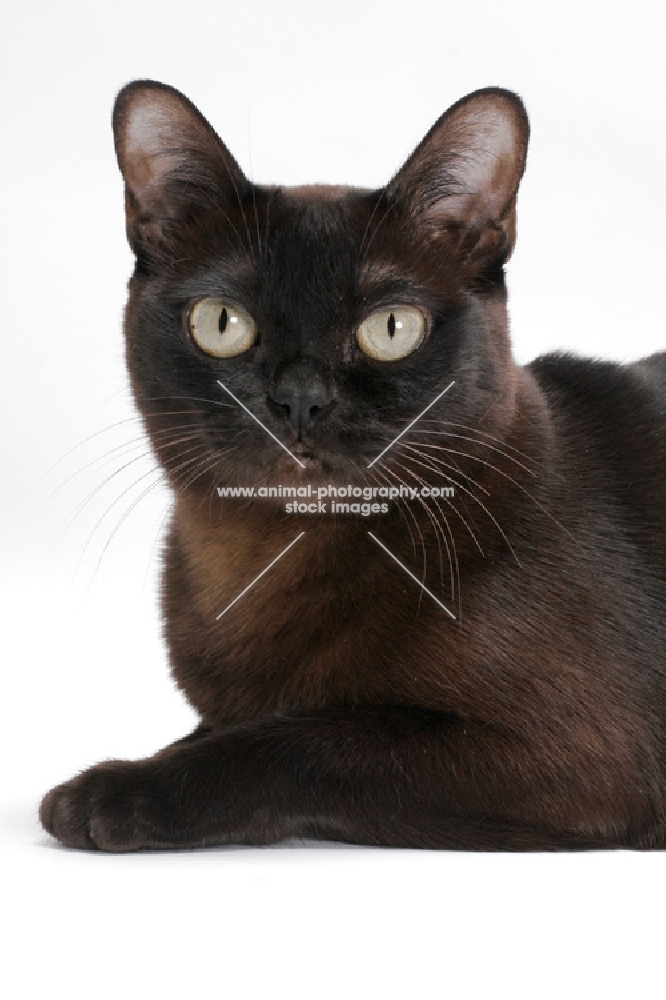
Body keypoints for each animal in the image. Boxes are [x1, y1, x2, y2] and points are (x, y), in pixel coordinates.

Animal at [40, 80, 664, 852]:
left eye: (391, 329)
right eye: (222, 322)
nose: (300, 399)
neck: (273, 554)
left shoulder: (582, 757)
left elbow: (304, 737)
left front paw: (112, 794)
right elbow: (215, 731)